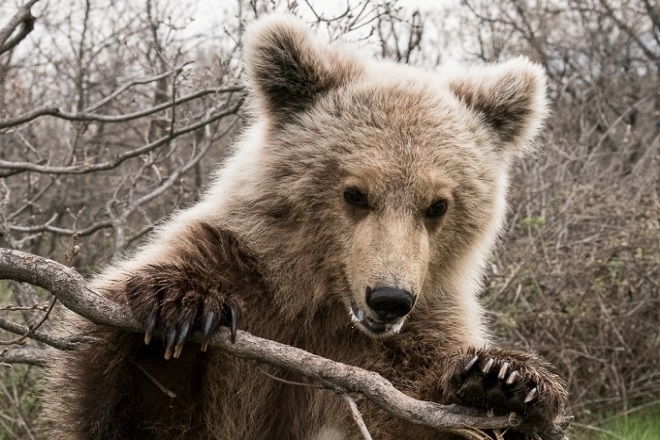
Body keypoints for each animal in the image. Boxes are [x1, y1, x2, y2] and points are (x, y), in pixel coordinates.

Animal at [41, 14, 568, 440]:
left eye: (437, 205)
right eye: (355, 193)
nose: (389, 298)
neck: (319, 302)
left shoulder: (409, 343)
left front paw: (502, 377)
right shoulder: (241, 278)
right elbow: (137, 405)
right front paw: (183, 306)